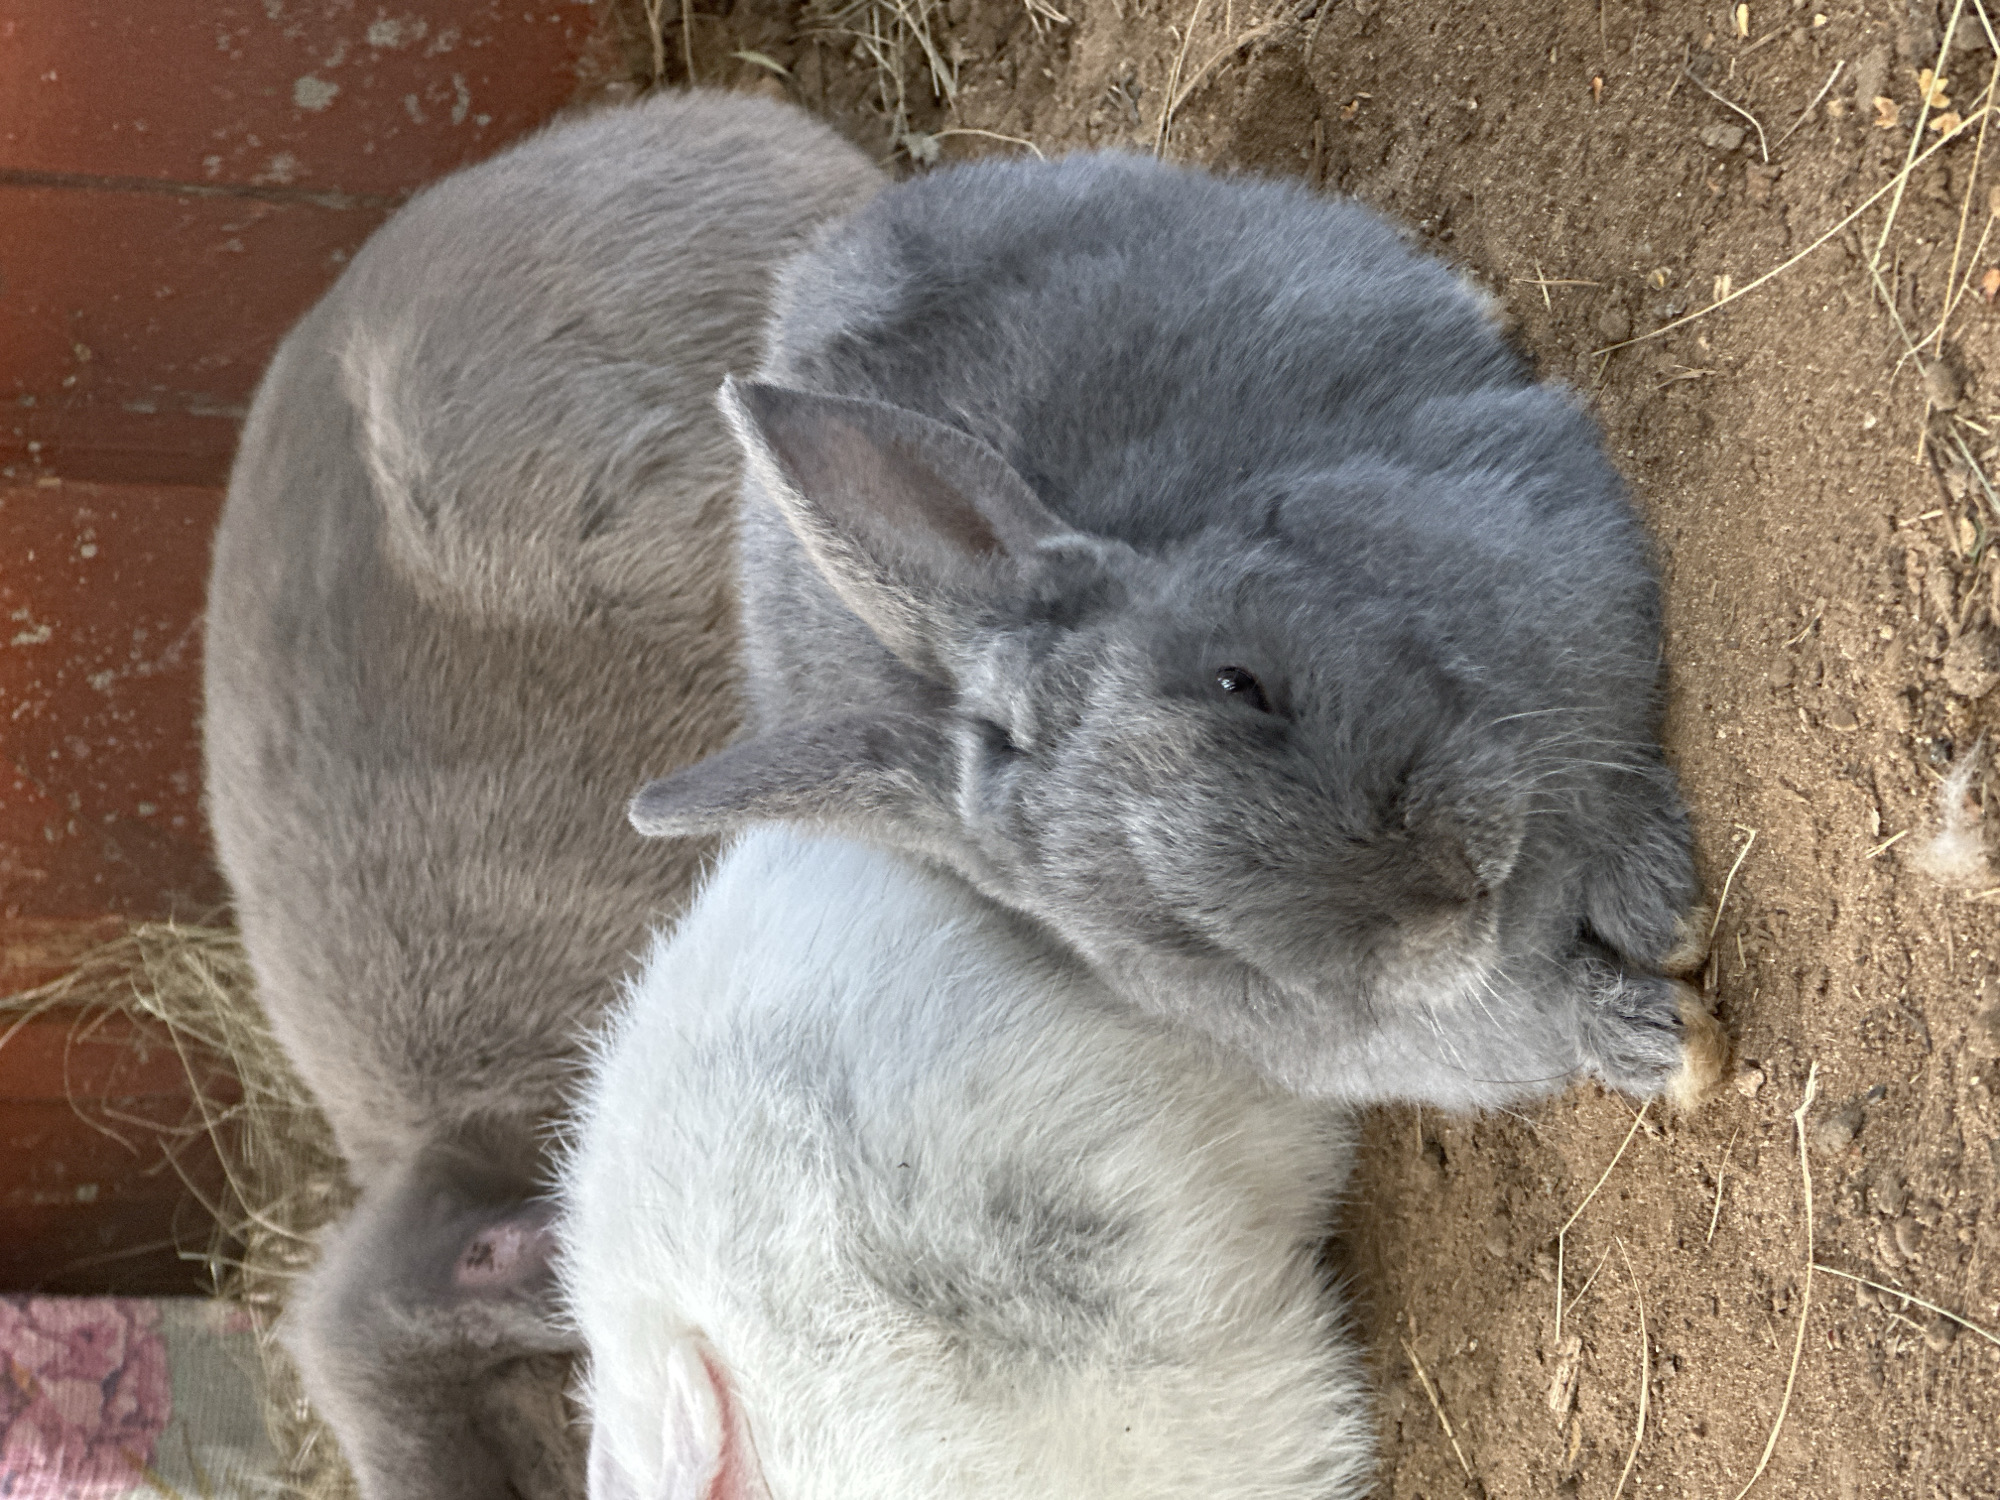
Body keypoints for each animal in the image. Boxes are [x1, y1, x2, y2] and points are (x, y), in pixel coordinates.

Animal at [627, 151, 1728, 1115]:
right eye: (1174, 934)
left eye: (1241, 680)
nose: (1439, 901)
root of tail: (820, 264)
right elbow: (1566, 1009)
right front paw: (1671, 1048)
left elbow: (1614, 785)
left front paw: (1665, 914)